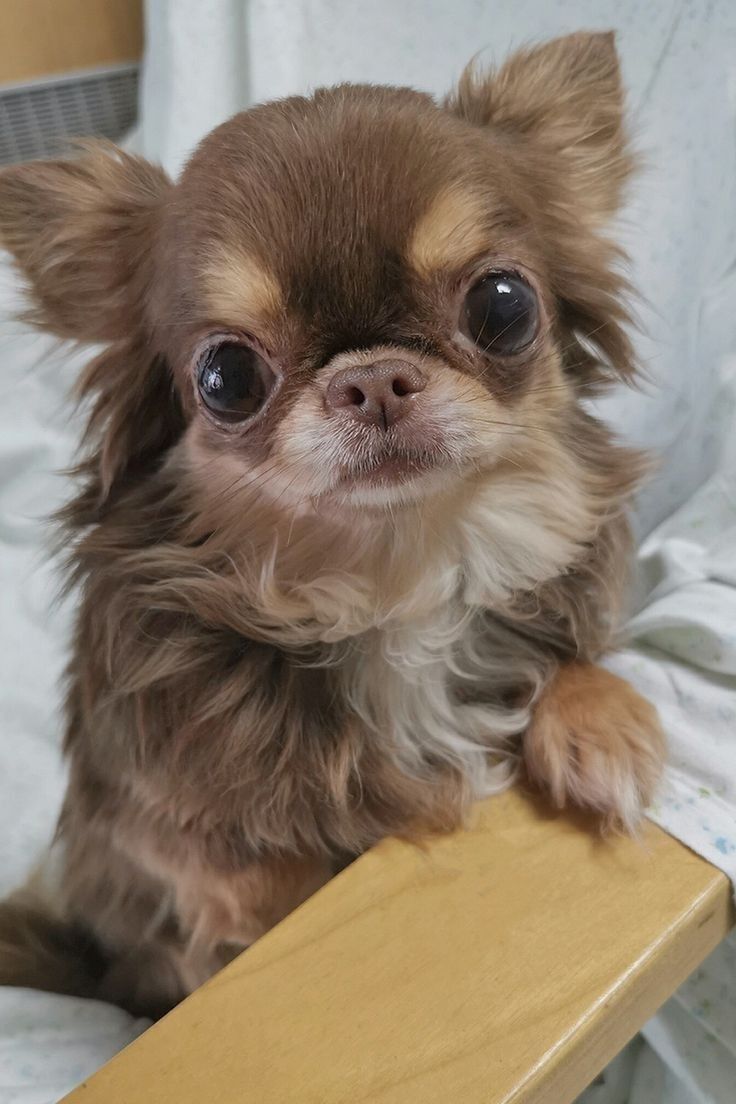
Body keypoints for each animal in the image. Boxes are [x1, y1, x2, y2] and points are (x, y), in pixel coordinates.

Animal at [0, 32, 666, 1015]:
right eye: (226, 376)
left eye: (503, 304)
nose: (374, 377)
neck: (396, 579)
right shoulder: (123, 824)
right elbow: (207, 851)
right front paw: (275, 893)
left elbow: (570, 657)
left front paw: (602, 721)